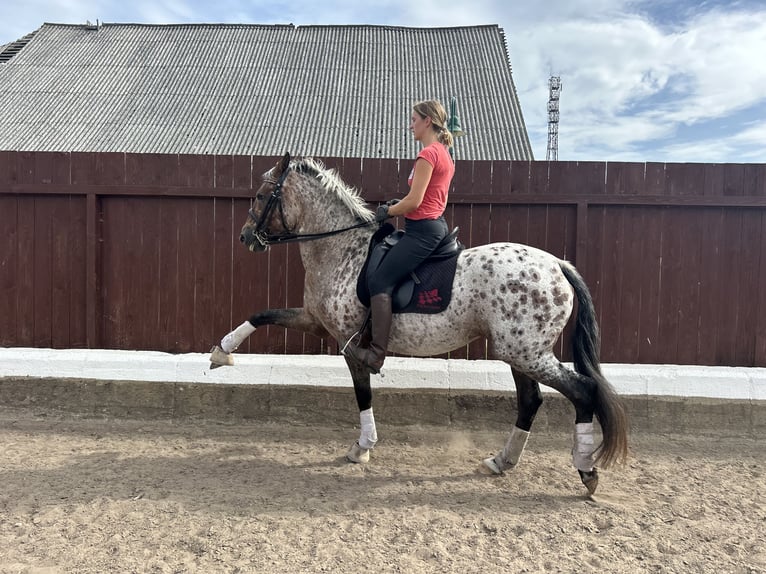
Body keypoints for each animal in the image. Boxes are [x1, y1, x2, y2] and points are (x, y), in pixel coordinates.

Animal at [210, 155, 632, 498]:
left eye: (262, 195)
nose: (246, 236)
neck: (341, 249)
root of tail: (557, 264)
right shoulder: (315, 321)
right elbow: (263, 314)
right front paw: (221, 352)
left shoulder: (349, 340)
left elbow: (362, 393)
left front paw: (362, 447)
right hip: (519, 353)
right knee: (531, 400)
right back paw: (501, 461)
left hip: (526, 353)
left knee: (582, 391)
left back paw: (586, 471)